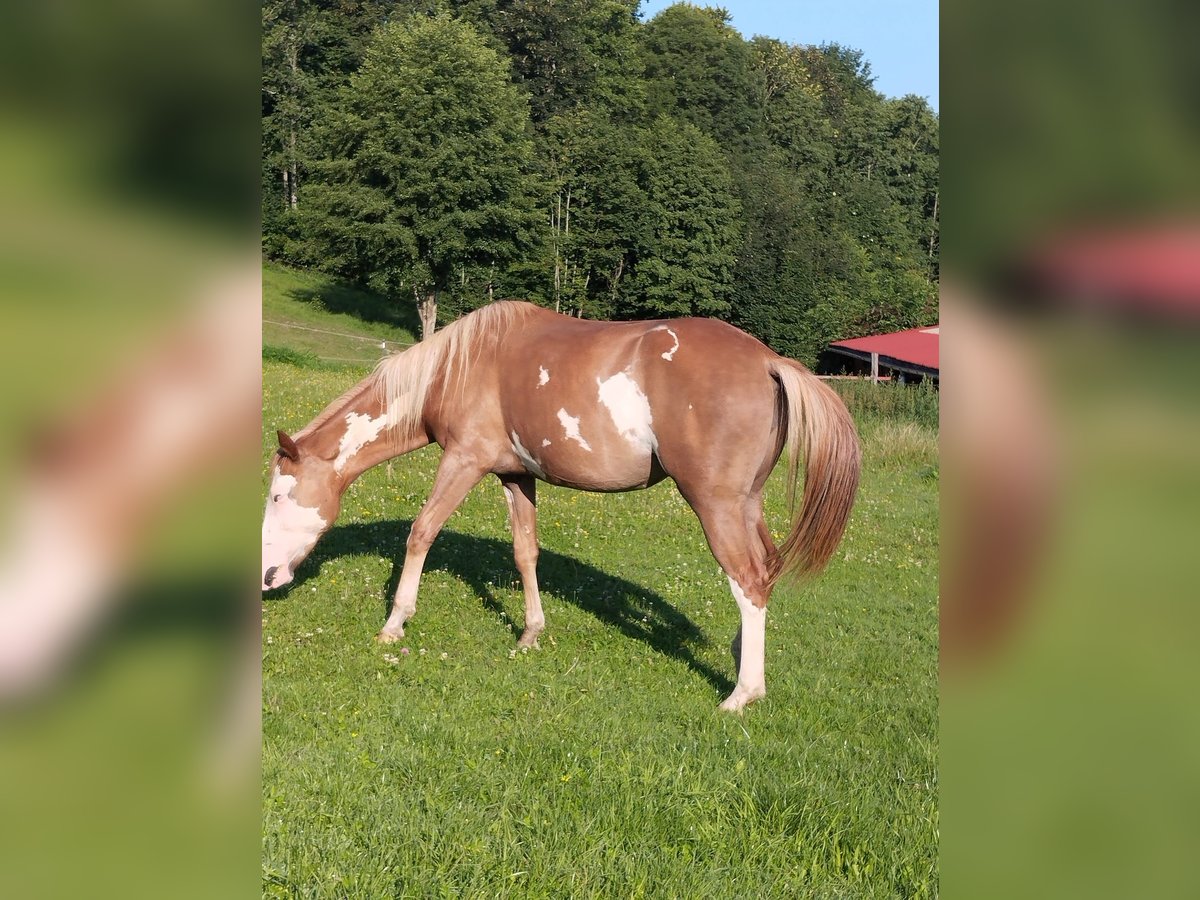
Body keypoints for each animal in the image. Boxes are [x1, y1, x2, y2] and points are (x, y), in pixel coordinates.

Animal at [261, 301, 860, 711]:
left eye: (276, 494)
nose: (267, 577)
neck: (458, 366)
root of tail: (769, 361)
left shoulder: (463, 461)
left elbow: (422, 532)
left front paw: (395, 622)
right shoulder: (515, 475)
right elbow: (525, 553)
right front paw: (530, 633)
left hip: (715, 505)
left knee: (748, 579)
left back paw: (742, 694)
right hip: (747, 504)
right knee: (766, 571)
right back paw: (742, 663)